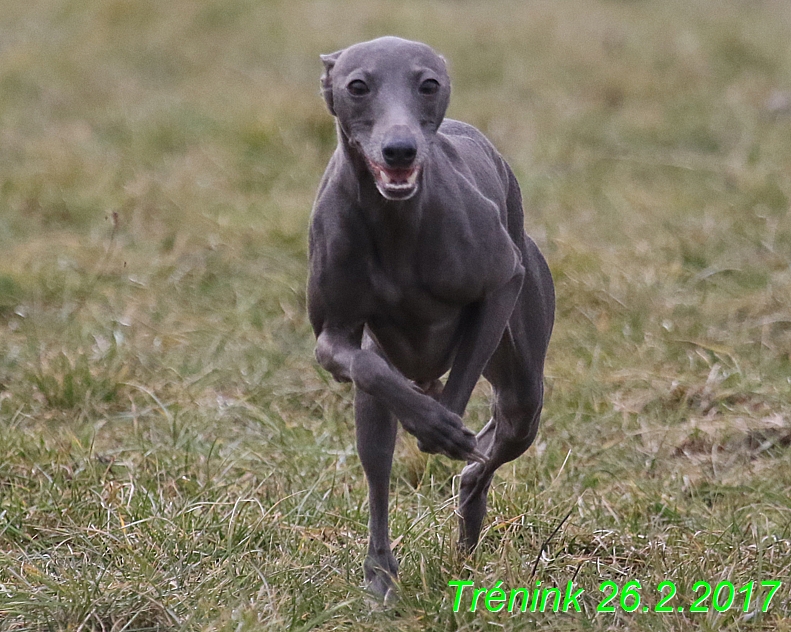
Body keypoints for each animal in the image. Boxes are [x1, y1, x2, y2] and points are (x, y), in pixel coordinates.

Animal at [306, 34, 552, 596]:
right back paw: (380, 574)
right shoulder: (335, 336)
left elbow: (461, 385)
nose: (400, 150)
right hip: (378, 402)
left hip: (523, 384)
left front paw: (442, 425)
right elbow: (361, 364)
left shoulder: (502, 281)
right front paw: (429, 420)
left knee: (495, 440)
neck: (395, 221)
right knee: (378, 458)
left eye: (428, 84)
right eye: (357, 85)